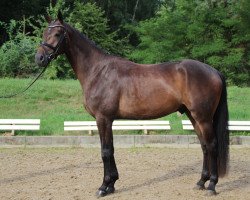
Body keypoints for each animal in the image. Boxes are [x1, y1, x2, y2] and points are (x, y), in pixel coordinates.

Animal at [34, 12, 229, 197]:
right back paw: (201, 182)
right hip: (193, 116)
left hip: (203, 118)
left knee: (212, 145)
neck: (98, 71)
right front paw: (112, 184)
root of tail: (214, 71)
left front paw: (103, 187)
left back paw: (212, 185)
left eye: (57, 34)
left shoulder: (103, 119)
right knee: (204, 146)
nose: (39, 58)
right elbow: (111, 149)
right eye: (44, 32)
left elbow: (105, 151)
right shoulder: (108, 120)